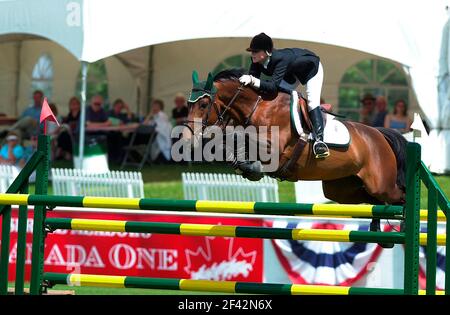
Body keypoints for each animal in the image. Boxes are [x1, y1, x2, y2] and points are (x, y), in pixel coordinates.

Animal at [181, 68, 406, 242]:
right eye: (188, 104)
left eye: (203, 104)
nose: (186, 139)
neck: (257, 107)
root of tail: (379, 134)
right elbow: (233, 140)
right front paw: (246, 165)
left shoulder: (274, 147)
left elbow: (241, 136)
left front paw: (251, 166)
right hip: (342, 190)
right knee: (374, 201)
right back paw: (377, 230)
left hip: (381, 184)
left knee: (399, 196)